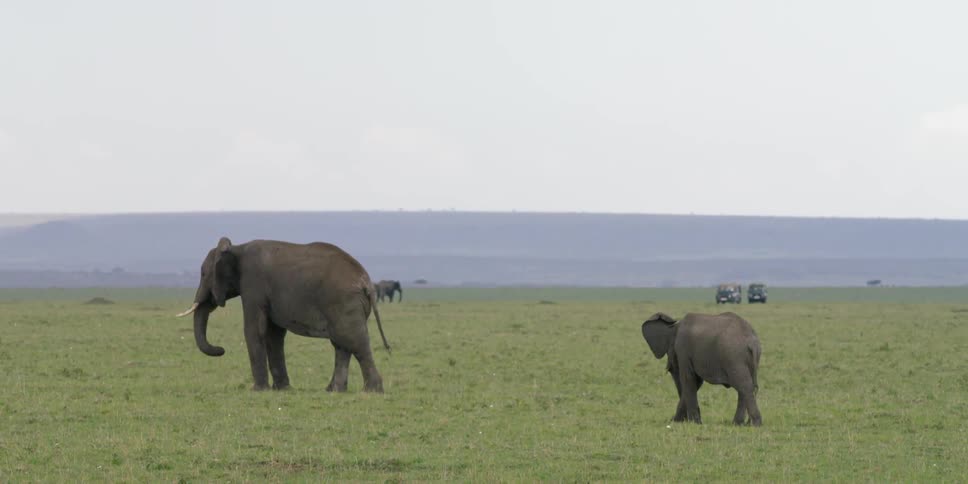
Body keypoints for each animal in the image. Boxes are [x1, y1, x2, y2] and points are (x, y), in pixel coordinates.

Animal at [175, 237, 391, 393]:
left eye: (203, 274)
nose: (221, 350)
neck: (237, 248)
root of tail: (366, 282)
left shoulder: (253, 285)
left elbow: (255, 330)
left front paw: (258, 390)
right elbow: (274, 335)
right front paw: (282, 389)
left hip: (343, 303)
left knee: (354, 341)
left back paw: (372, 391)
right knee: (342, 344)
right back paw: (334, 390)